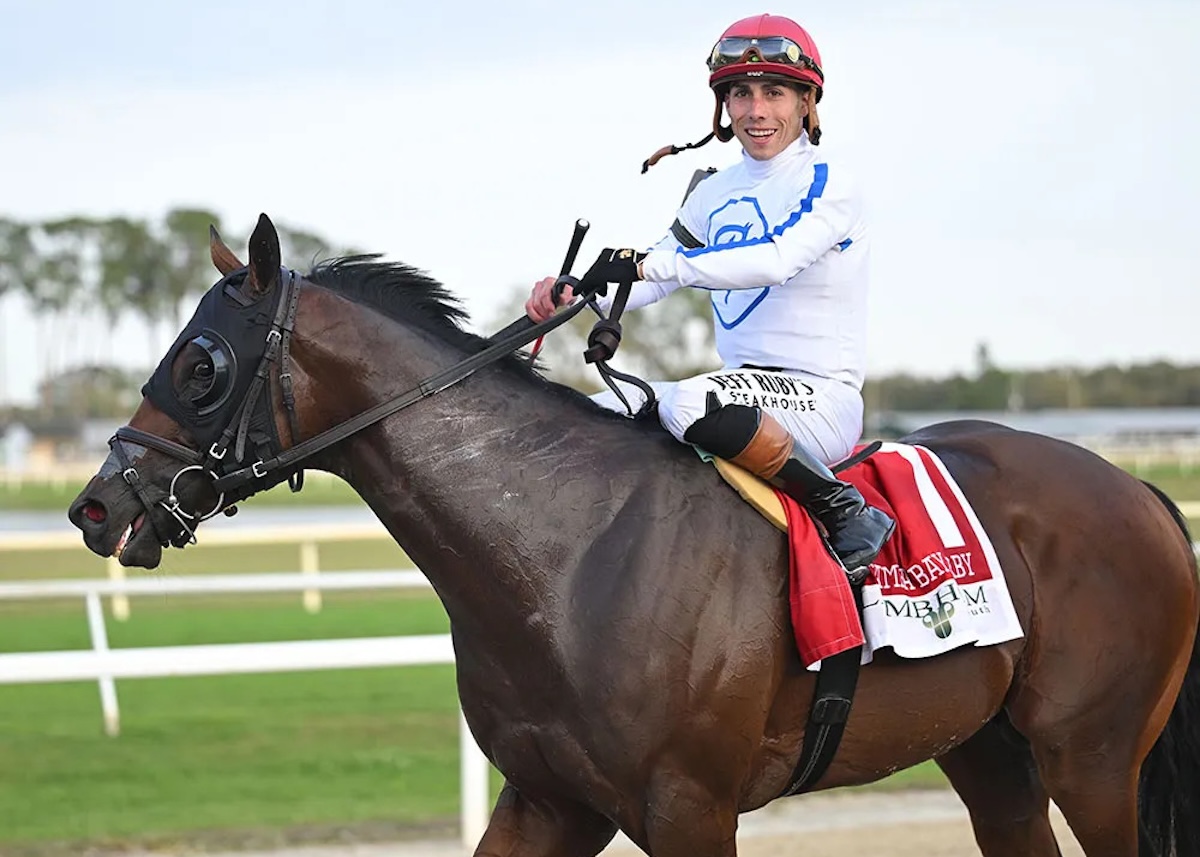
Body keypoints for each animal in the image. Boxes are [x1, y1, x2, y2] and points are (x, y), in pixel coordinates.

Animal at [68, 213, 1200, 854]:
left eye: (203, 361)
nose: (96, 505)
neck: (564, 553)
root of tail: (1140, 490)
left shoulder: (690, 808)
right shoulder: (549, 796)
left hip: (1093, 756)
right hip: (990, 752)